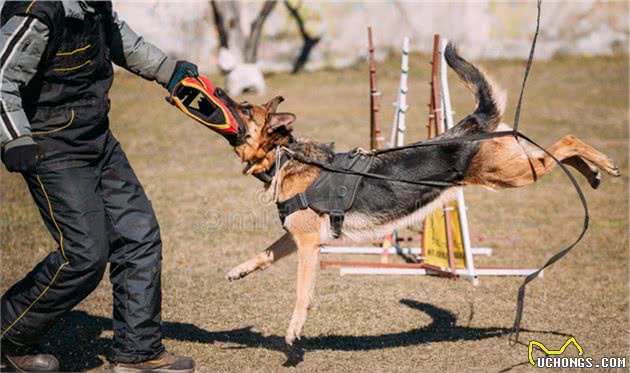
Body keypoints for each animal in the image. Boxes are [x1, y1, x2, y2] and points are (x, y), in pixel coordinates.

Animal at [222, 42, 624, 342]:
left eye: (244, 108)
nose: (222, 91)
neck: (284, 156)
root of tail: (470, 125)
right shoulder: (298, 238)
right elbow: (265, 253)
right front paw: (239, 270)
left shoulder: (308, 245)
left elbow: (302, 292)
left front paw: (294, 330)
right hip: (516, 167)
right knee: (557, 150)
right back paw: (592, 173)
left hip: (512, 174)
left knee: (567, 141)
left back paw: (601, 164)